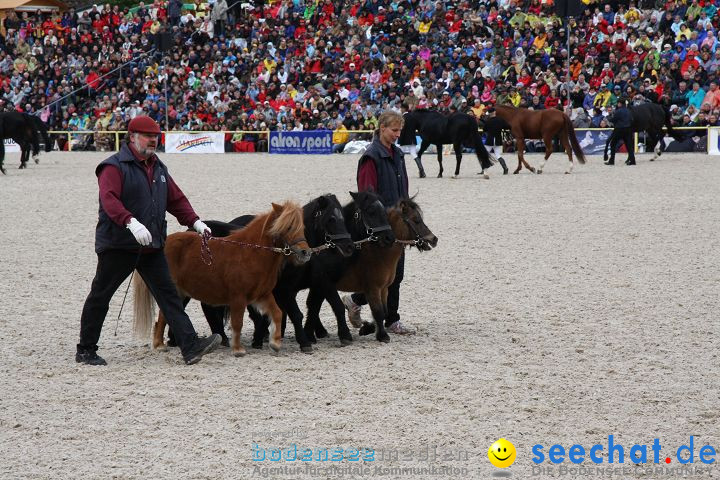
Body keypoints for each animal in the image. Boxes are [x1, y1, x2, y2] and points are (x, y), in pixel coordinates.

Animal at [134, 201, 310, 358]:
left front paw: (275, 343)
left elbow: (277, 313)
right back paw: (160, 345)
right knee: (164, 317)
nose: (305, 253)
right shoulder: (238, 297)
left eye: (302, 228)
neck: (251, 254)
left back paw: (161, 344)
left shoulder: (262, 295)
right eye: (288, 227)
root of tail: (166, 242)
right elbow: (237, 323)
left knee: (164, 317)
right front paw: (238, 349)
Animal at [306, 198, 438, 342]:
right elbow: (378, 312)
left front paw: (368, 328)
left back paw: (320, 332)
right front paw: (382, 335)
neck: (377, 252)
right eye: (416, 220)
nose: (434, 239)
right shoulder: (372, 289)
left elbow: (384, 311)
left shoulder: (384, 289)